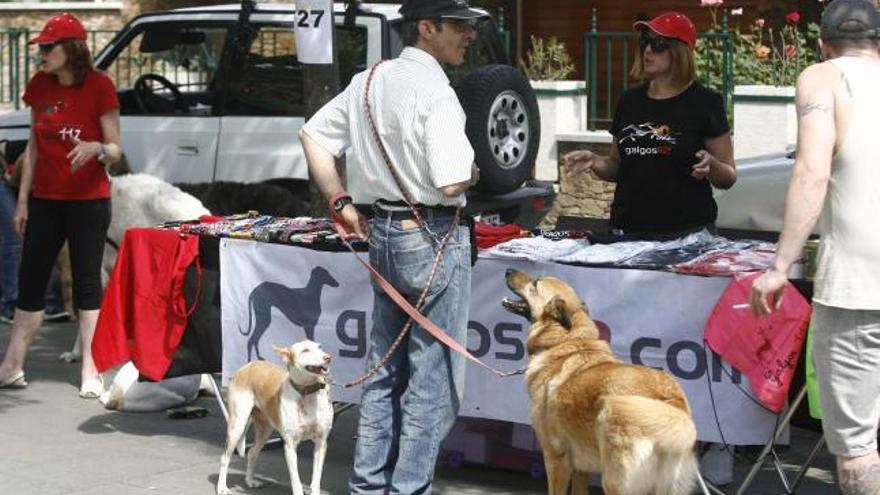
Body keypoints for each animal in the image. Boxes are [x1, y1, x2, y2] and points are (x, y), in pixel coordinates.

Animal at [217, 340, 334, 495]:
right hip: (237, 426)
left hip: (265, 430)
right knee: (225, 457)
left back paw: (250, 481)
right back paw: (221, 487)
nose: (328, 357)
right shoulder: (290, 446)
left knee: (252, 453)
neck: (306, 393)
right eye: (305, 350)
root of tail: (248, 366)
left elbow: (315, 481)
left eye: (320, 347)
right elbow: (296, 482)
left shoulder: (321, 444)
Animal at [506, 272, 696, 495]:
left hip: (613, 481)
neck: (565, 341)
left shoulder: (555, 457)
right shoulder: (580, 467)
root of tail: (672, 401)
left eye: (536, 283)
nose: (508, 270)